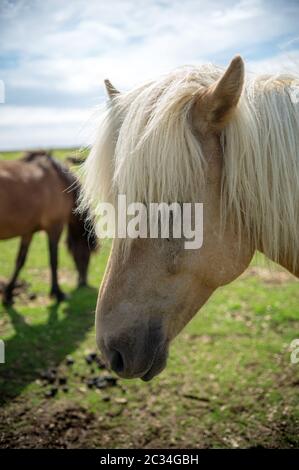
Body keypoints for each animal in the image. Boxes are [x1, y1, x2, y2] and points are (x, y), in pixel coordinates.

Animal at [0, 151, 97, 304]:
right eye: (86, 252)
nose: (83, 281)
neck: (59, 180)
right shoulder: (55, 227)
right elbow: (54, 260)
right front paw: (58, 293)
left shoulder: (28, 231)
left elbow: (20, 261)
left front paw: (8, 293)